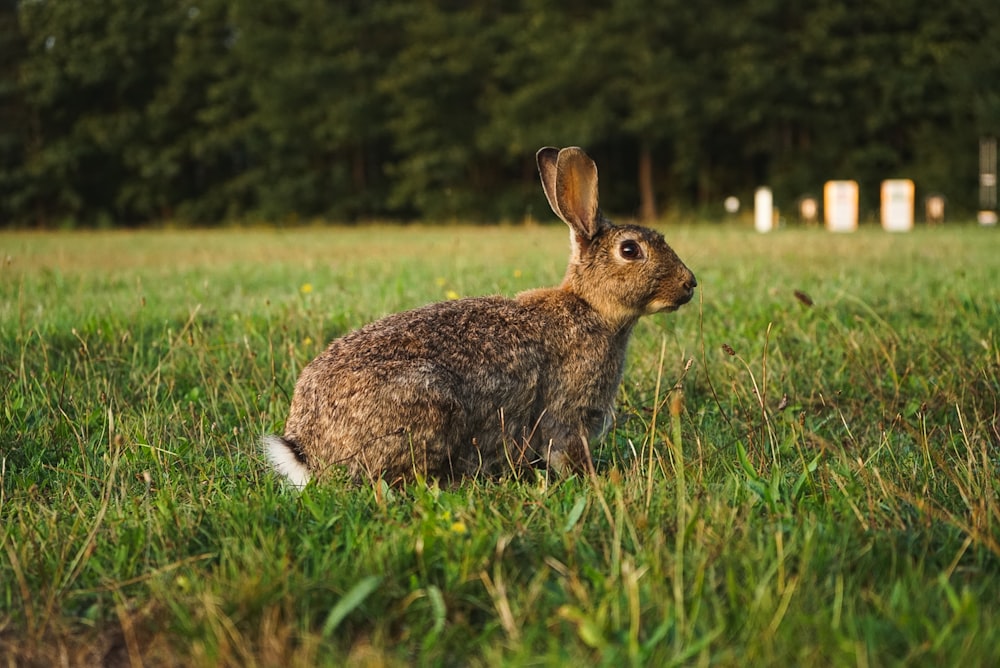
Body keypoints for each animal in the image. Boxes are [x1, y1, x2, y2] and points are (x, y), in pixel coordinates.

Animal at [270, 147, 700, 490]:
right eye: (630, 250)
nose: (690, 284)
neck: (590, 306)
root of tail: (305, 448)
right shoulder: (565, 413)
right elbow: (564, 449)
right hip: (430, 405)